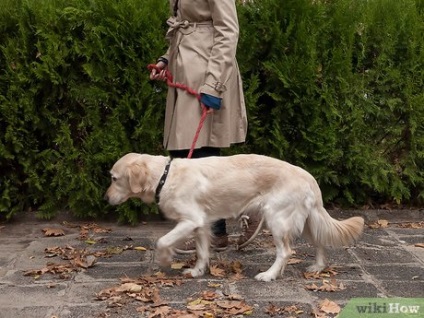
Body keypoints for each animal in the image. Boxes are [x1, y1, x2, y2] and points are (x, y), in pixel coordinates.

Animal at [104, 154, 362, 280]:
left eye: (114, 178)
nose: (106, 199)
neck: (165, 176)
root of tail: (308, 176)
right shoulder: (201, 225)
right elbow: (202, 252)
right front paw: (197, 272)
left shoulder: (191, 220)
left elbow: (162, 241)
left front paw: (166, 259)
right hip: (306, 220)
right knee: (320, 241)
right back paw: (317, 267)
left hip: (277, 219)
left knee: (286, 252)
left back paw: (269, 275)